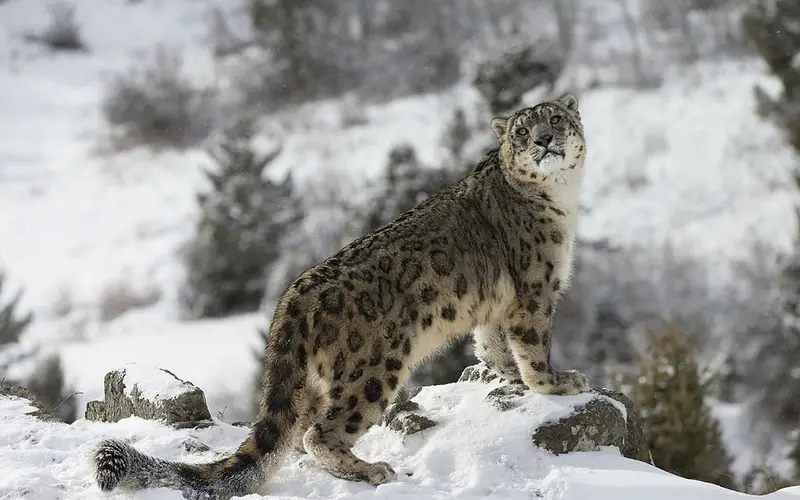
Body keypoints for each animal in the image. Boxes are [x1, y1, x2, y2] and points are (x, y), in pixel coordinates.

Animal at [91, 92, 590, 500]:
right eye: (522, 131)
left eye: (555, 119)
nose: (545, 140)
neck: (561, 200)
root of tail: (294, 294)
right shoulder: (535, 290)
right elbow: (532, 345)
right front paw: (557, 383)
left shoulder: (496, 305)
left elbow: (491, 344)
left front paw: (505, 376)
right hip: (372, 368)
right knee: (320, 432)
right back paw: (371, 470)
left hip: (317, 381)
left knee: (295, 433)